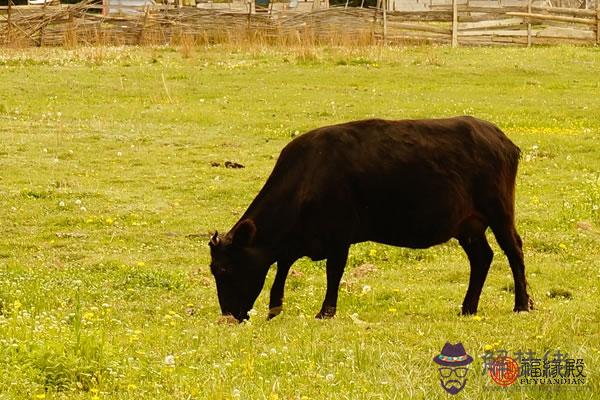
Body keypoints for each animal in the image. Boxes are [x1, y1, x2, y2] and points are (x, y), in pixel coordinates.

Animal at [209, 115, 532, 322]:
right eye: (214, 270)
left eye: (225, 269)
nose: (228, 316)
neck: (307, 176)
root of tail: (500, 137)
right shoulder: (299, 241)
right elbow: (282, 267)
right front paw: (274, 308)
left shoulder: (339, 236)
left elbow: (333, 272)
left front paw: (325, 312)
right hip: (468, 226)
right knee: (482, 257)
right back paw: (468, 307)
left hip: (500, 212)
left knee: (514, 250)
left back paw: (522, 304)